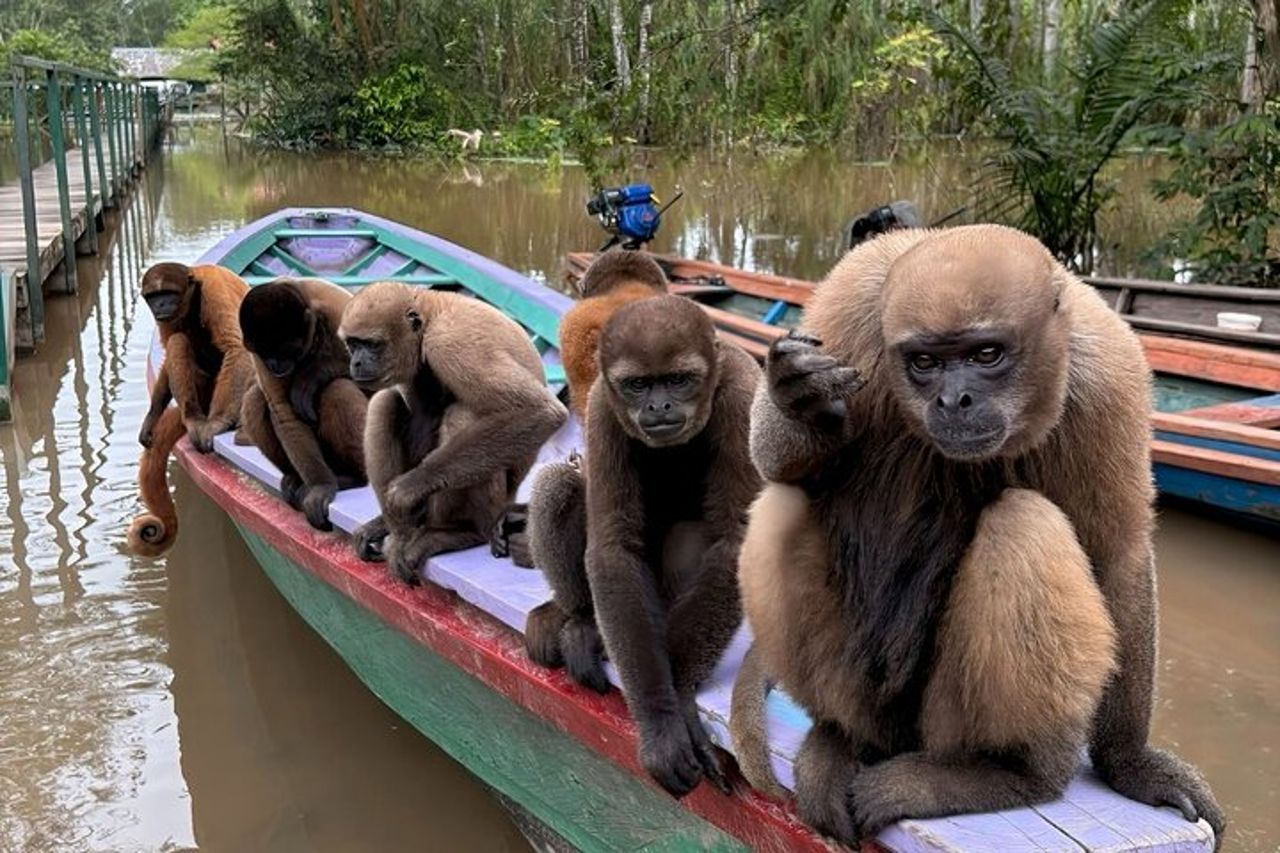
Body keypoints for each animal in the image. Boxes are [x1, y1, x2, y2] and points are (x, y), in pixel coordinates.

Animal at [129, 263, 253, 556]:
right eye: (154, 296)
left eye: (168, 293)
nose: (161, 304)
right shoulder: (167, 318)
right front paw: (152, 417)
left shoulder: (214, 290)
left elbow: (235, 346)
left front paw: (218, 422)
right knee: (178, 340)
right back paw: (192, 418)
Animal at [238, 278, 369, 531]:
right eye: (266, 353)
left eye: (287, 350)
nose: (276, 365)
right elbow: (283, 411)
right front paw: (321, 486)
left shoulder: (341, 310)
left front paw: (312, 377)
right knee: (254, 400)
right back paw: (296, 478)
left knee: (338, 390)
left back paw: (356, 478)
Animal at [337, 281, 567, 583]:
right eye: (353, 344)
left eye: (372, 345)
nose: (356, 363)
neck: (430, 315)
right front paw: (390, 526)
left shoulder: (450, 342)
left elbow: (538, 410)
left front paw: (411, 486)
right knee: (384, 402)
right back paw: (398, 530)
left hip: (497, 504)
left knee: (460, 415)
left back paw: (459, 532)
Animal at [529, 295, 761, 799]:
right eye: (637, 385)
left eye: (678, 379)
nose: (659, 405)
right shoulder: (601, 405)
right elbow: (613, 546)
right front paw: (660, 719)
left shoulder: (744, 394)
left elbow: (733, 542)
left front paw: (680, 698)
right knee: (558, 484)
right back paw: (581, 622)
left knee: (691, 537)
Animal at [728, 224, 1224, 844]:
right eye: (924, 363)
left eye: (986, 355)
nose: (953, 399)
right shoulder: (848, 304)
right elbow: (777, 464)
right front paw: (801, 398)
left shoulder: (1109, 373)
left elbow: (1119, 554)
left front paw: (1130, 763)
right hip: (871, 698)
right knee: (785, 500)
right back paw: (844, 738)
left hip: (941, 721)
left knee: (1023, 522)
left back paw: (1010, 773)